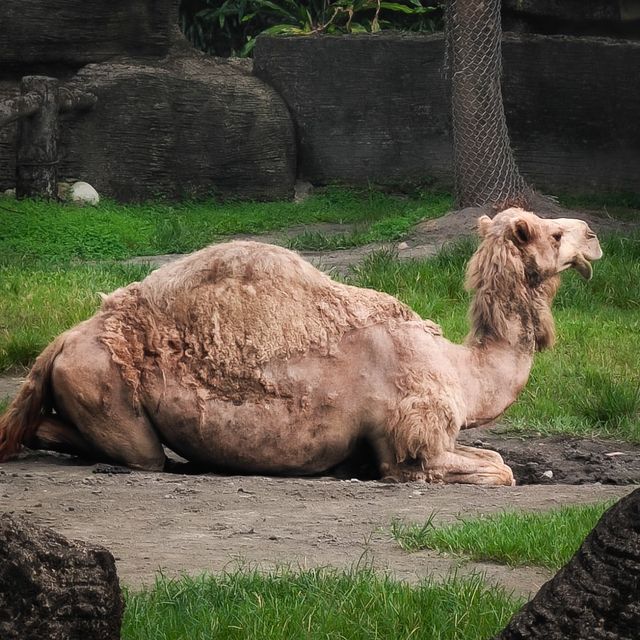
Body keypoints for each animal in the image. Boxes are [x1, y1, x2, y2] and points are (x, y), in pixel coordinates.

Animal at [0, 210, 600, 484]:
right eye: (550, 234)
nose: (592, 235)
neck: (460, 370)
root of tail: (61, 341)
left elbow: (497, 458)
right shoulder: (409, 440)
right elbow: (499, 469)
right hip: (102, 385)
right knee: (137, 453)